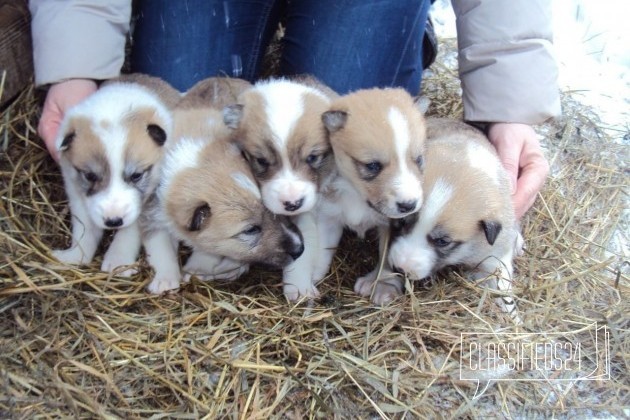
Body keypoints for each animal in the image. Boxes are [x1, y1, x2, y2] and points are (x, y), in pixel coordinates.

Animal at [53, 75, 179, 288]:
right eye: (90, 176)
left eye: (136, 175)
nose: (113, 222)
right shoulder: (77, 193)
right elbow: (84, 229)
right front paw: (76, 255)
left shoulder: (144, 204)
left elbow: (129, 231)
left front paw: (118, 260)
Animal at [223, 77, 338, 300]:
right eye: (261, 160)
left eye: (313, 157)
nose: (292, 204)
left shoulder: (307, 212)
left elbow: (304, 248)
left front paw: (299, 287)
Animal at [320, 87, 430, 304]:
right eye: (372, 166)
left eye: (419, 159)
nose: (409, 205)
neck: (356, 195)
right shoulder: (328, 215)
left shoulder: (393, 224)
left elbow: (387, 255)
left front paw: (382, 284)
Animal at [388, 118, 524, 322]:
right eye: (403, 223)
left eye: (443, 241)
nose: (400, 268)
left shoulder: (495, 254)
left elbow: (501, 283)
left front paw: (513, 317)